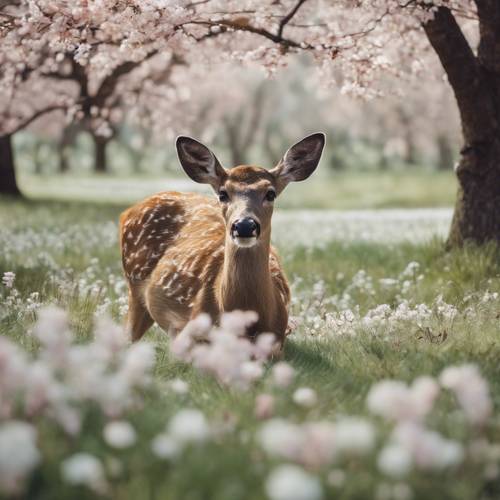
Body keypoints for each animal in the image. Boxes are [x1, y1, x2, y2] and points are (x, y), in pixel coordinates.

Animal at [119, 131, 326, 346]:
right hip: (134, 282)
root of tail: (127, 212)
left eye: (270, 193)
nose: (244, 225)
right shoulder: (189, 331)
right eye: (223, 194)